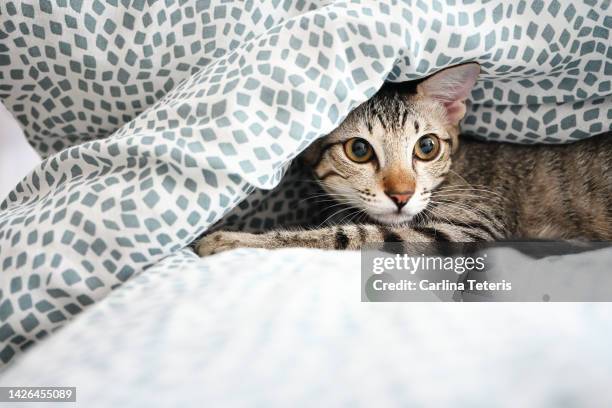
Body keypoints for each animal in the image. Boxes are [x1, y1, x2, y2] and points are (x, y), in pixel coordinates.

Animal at [196, 63, 612, 255]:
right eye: (359, 150)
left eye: (426, 147)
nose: (401, 195)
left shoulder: (469, 229)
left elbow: (349, 235)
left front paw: (233, 239)